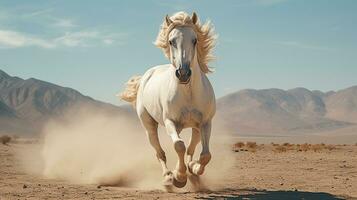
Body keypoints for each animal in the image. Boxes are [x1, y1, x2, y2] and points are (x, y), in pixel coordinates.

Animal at [119, 11, 216, 189]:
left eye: (195, 40)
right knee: (160, 152)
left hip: (195, 127)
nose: (183, 73)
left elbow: (205, 155)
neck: (188, 93)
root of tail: (145, 77)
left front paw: (193, 169)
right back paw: (168, 177)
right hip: (149, 126)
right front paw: (179, 177)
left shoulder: (205, 122)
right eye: (171, 41)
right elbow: (179, 146)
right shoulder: (171, 121)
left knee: (191, 148)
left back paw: (192, 171)